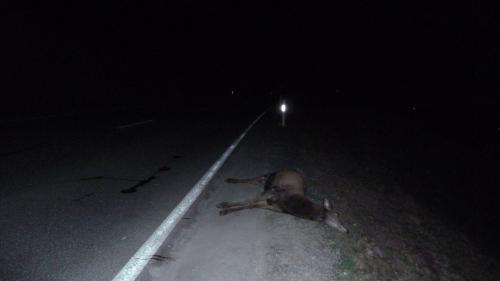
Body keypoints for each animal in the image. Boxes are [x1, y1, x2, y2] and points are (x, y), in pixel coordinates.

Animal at [215, 168, 348, 232]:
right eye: (337, 215)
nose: (346, 230)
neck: (293, 206)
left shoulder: (271, 205)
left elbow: (250, 205)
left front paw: (225, 210)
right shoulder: (273, 191)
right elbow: (248, 201)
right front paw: (223, 205)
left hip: (266, 183)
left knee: (253, 182)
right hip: (269, 177)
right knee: (252, 179)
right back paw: (230, 179)